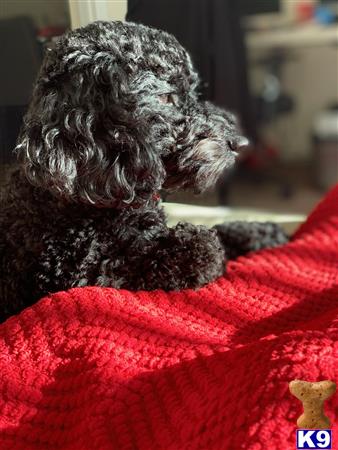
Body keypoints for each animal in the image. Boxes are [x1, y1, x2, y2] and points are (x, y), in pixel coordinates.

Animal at [0, 21, 288, 322]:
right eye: (165, 97)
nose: (241, 143)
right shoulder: (83, 271)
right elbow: (204, 245)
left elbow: (222, 229)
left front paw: (262, 231)